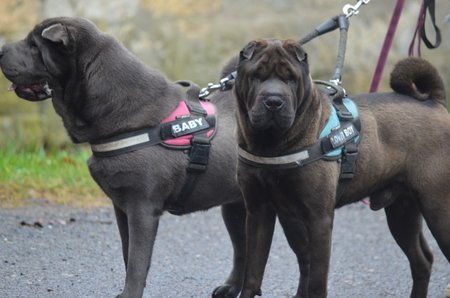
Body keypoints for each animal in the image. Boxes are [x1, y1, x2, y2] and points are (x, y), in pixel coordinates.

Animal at [0, 17, 246, 298]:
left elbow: (137, 260)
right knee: (242, 250)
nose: (0, 50)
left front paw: (129, 293)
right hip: (234, 207)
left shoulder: (142, 208)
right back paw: (231, 288)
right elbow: (127, 253)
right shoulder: (122, 207)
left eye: (34, 46)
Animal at [234, 38, 450, 296]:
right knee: (422, 261)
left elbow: (316, 279)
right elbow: (253, 272)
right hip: (402, 211)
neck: (271, 145)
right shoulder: (259, 212)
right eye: (256, 75)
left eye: (291, 78)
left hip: (438, 208)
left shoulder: (318, 218)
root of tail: (434, 102)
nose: (274, 101)